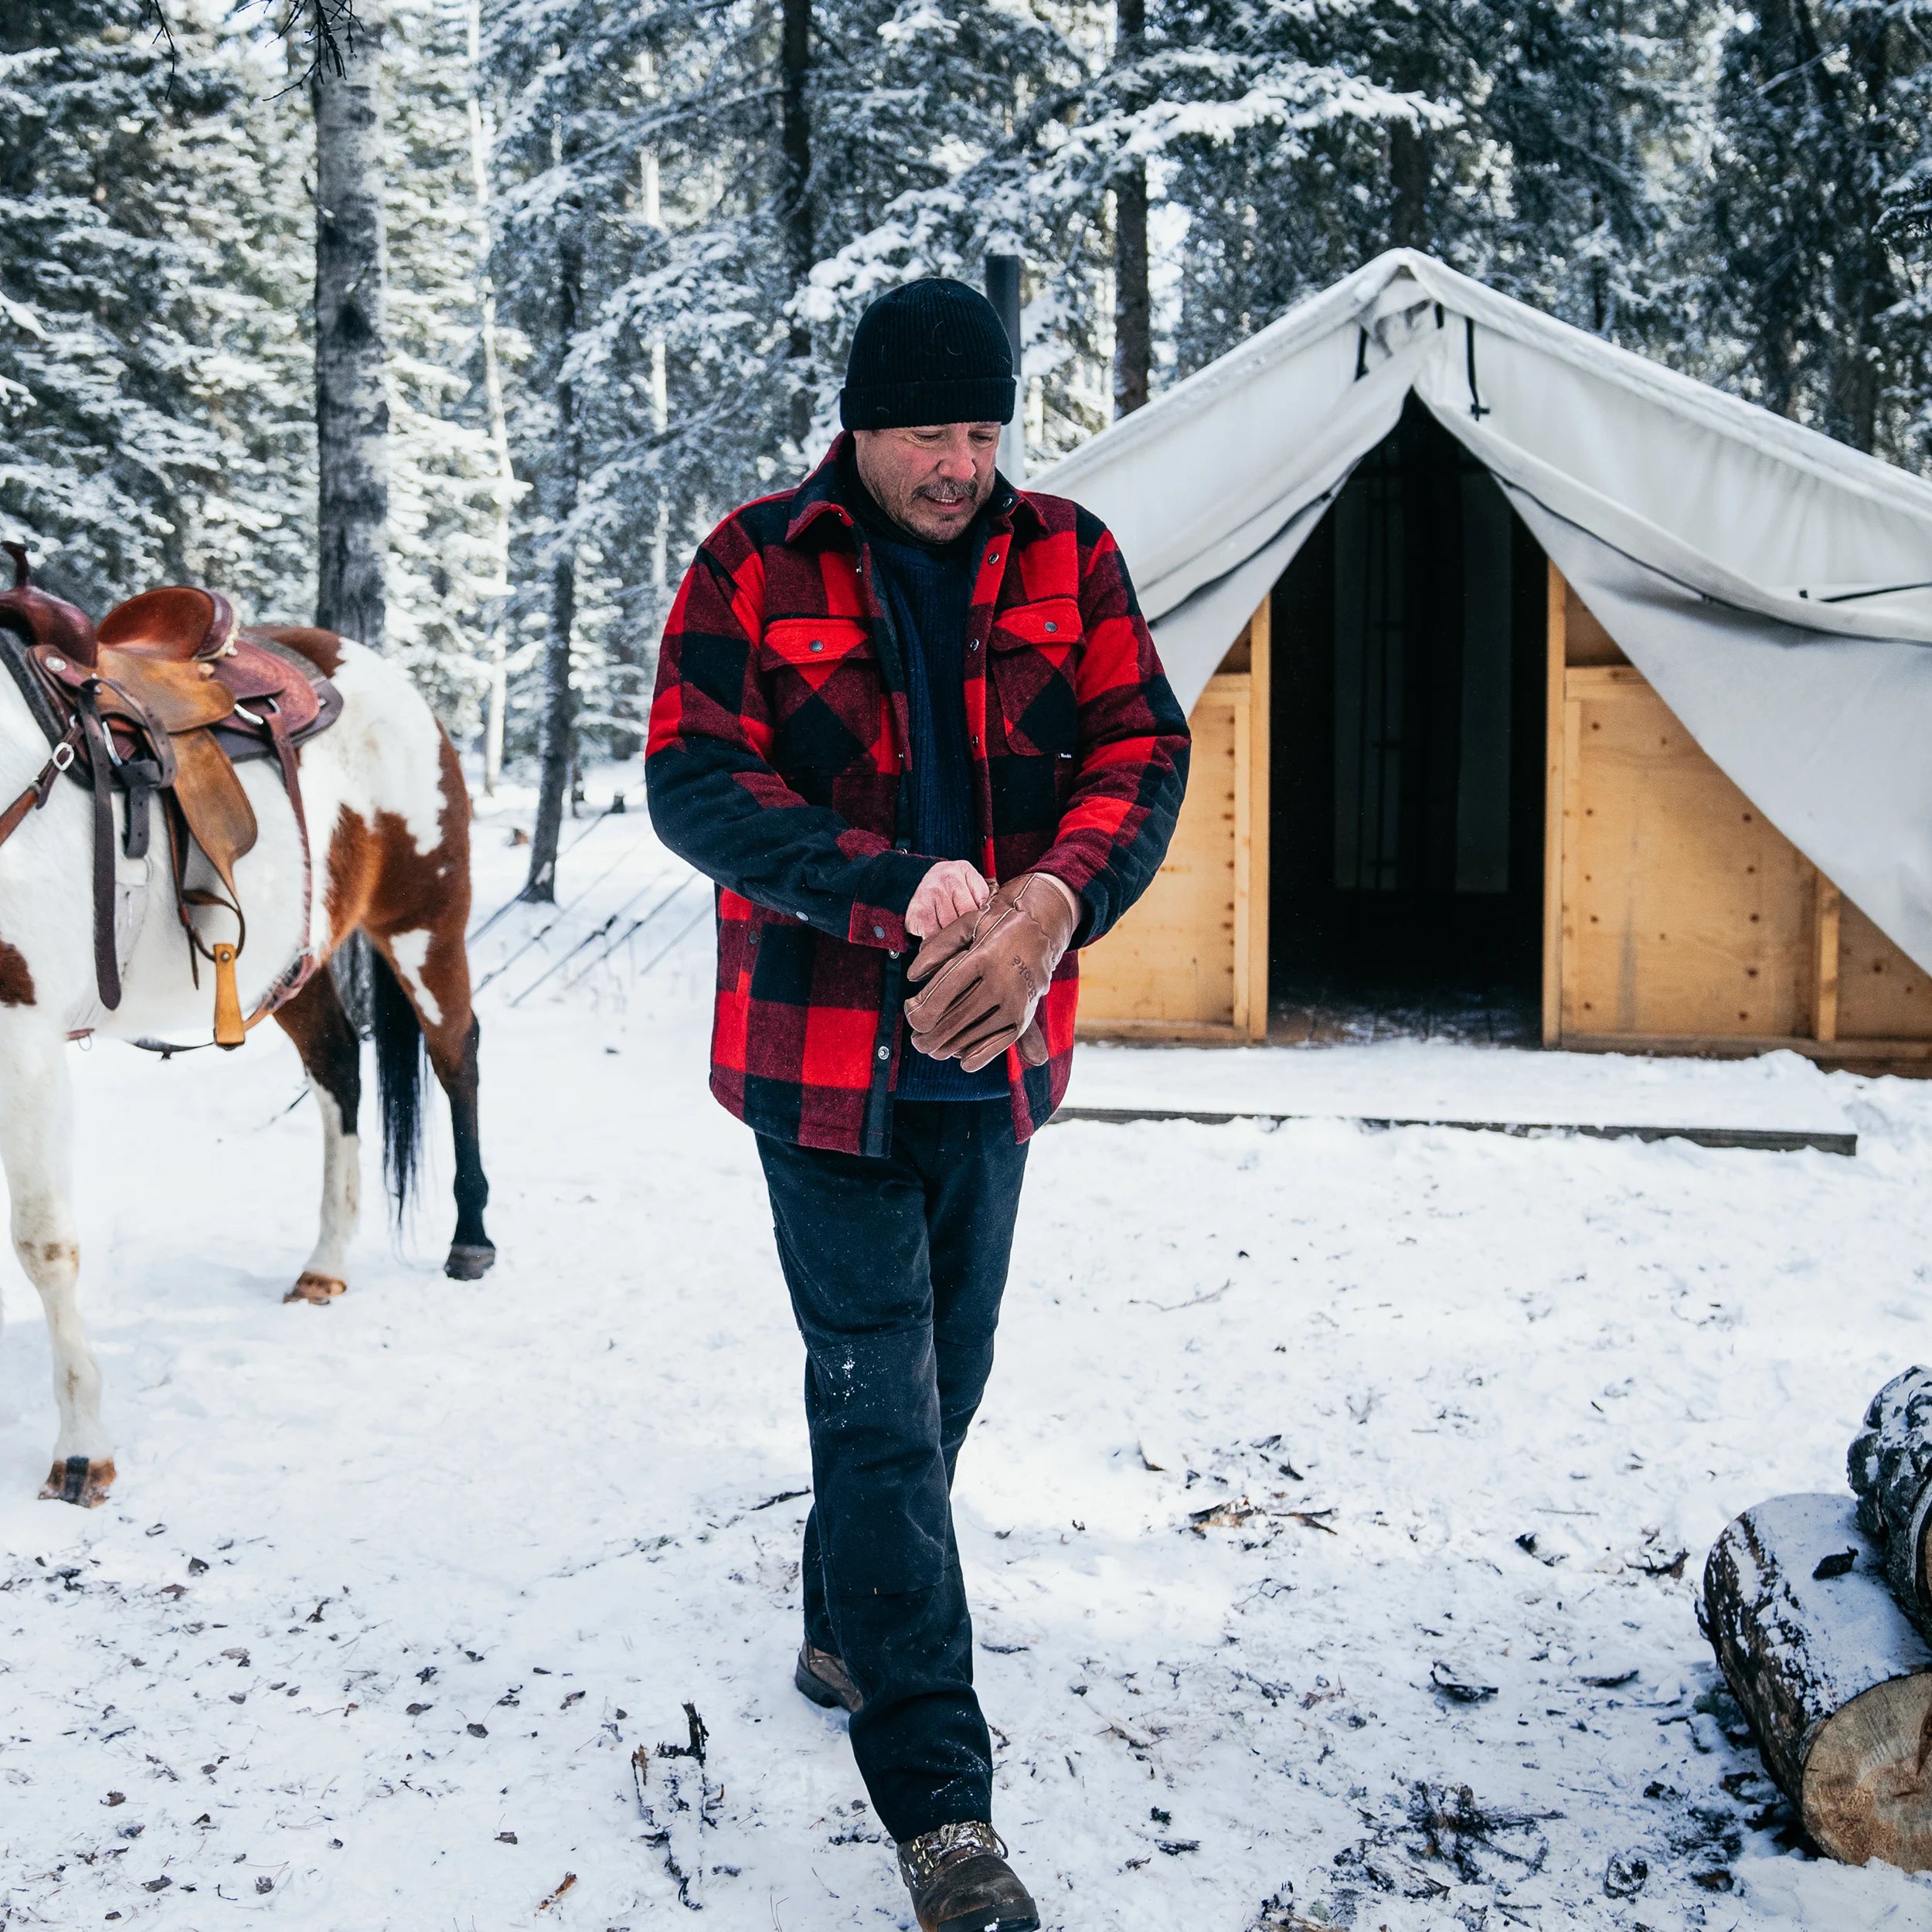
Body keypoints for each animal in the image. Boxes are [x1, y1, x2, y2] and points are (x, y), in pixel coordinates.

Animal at [0, 576, 495, 1507]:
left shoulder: (27, 1041)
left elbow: (44, 1243)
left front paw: (82, 1451)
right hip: (289, 964)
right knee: (340, 1066)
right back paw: (325, 1262)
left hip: (423, 925)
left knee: (458, 1058)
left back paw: (471, 1241)